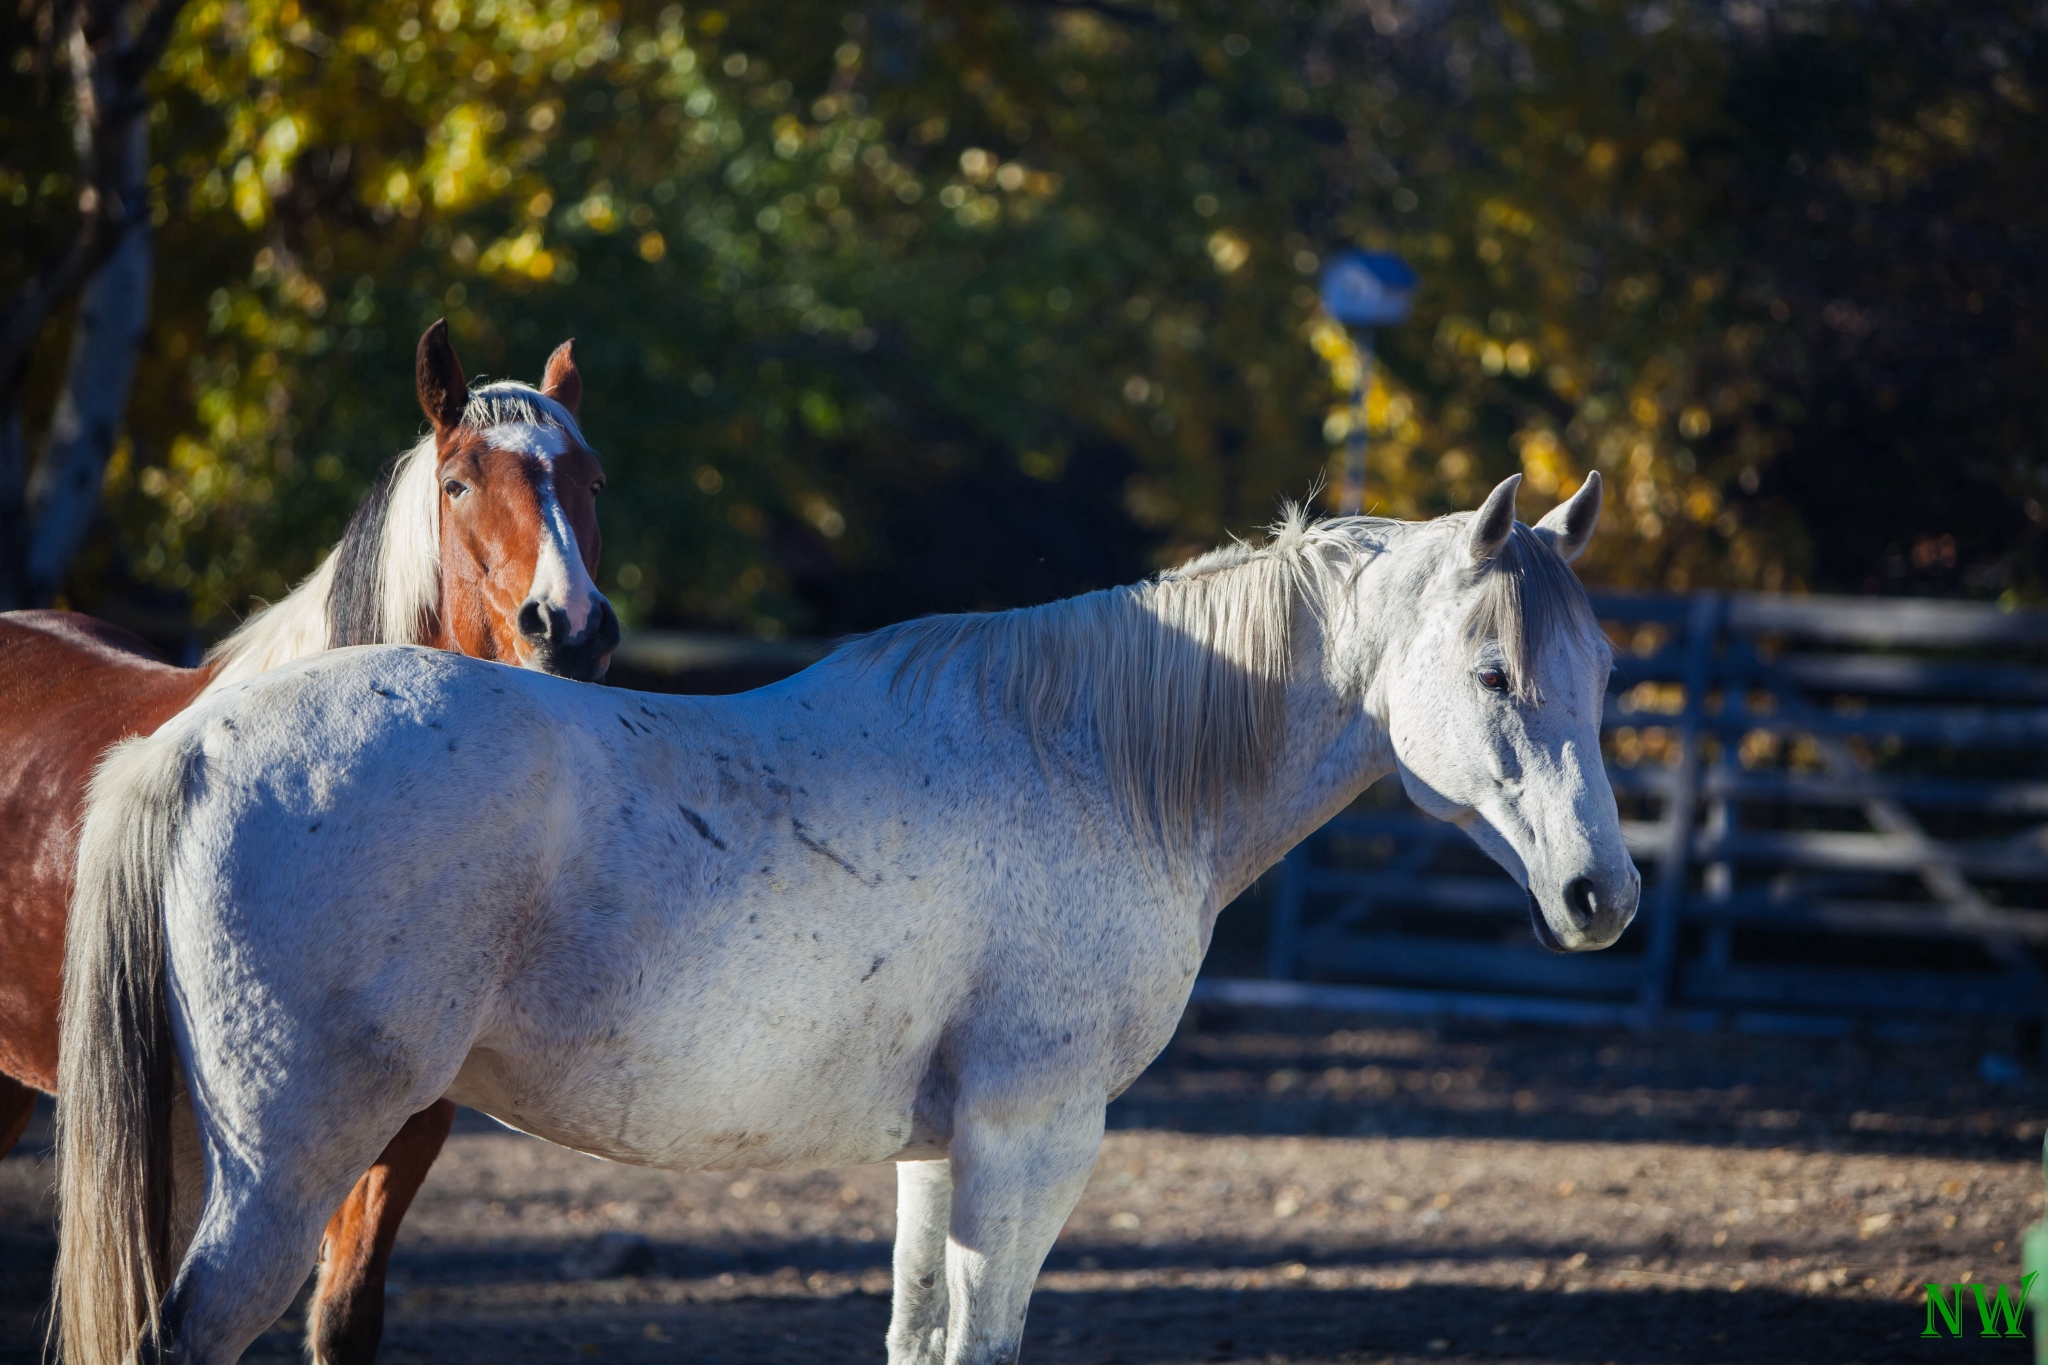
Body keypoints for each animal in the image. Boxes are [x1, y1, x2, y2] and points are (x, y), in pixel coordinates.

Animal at [56, 472, 1638, 1365]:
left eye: (1603, 670)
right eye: (1493, 673)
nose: (1600, 895)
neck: (1092, 761)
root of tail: (189, 747)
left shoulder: (938, 1155)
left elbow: (915, 1334)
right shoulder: (1031, 1140)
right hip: (288, 1171)